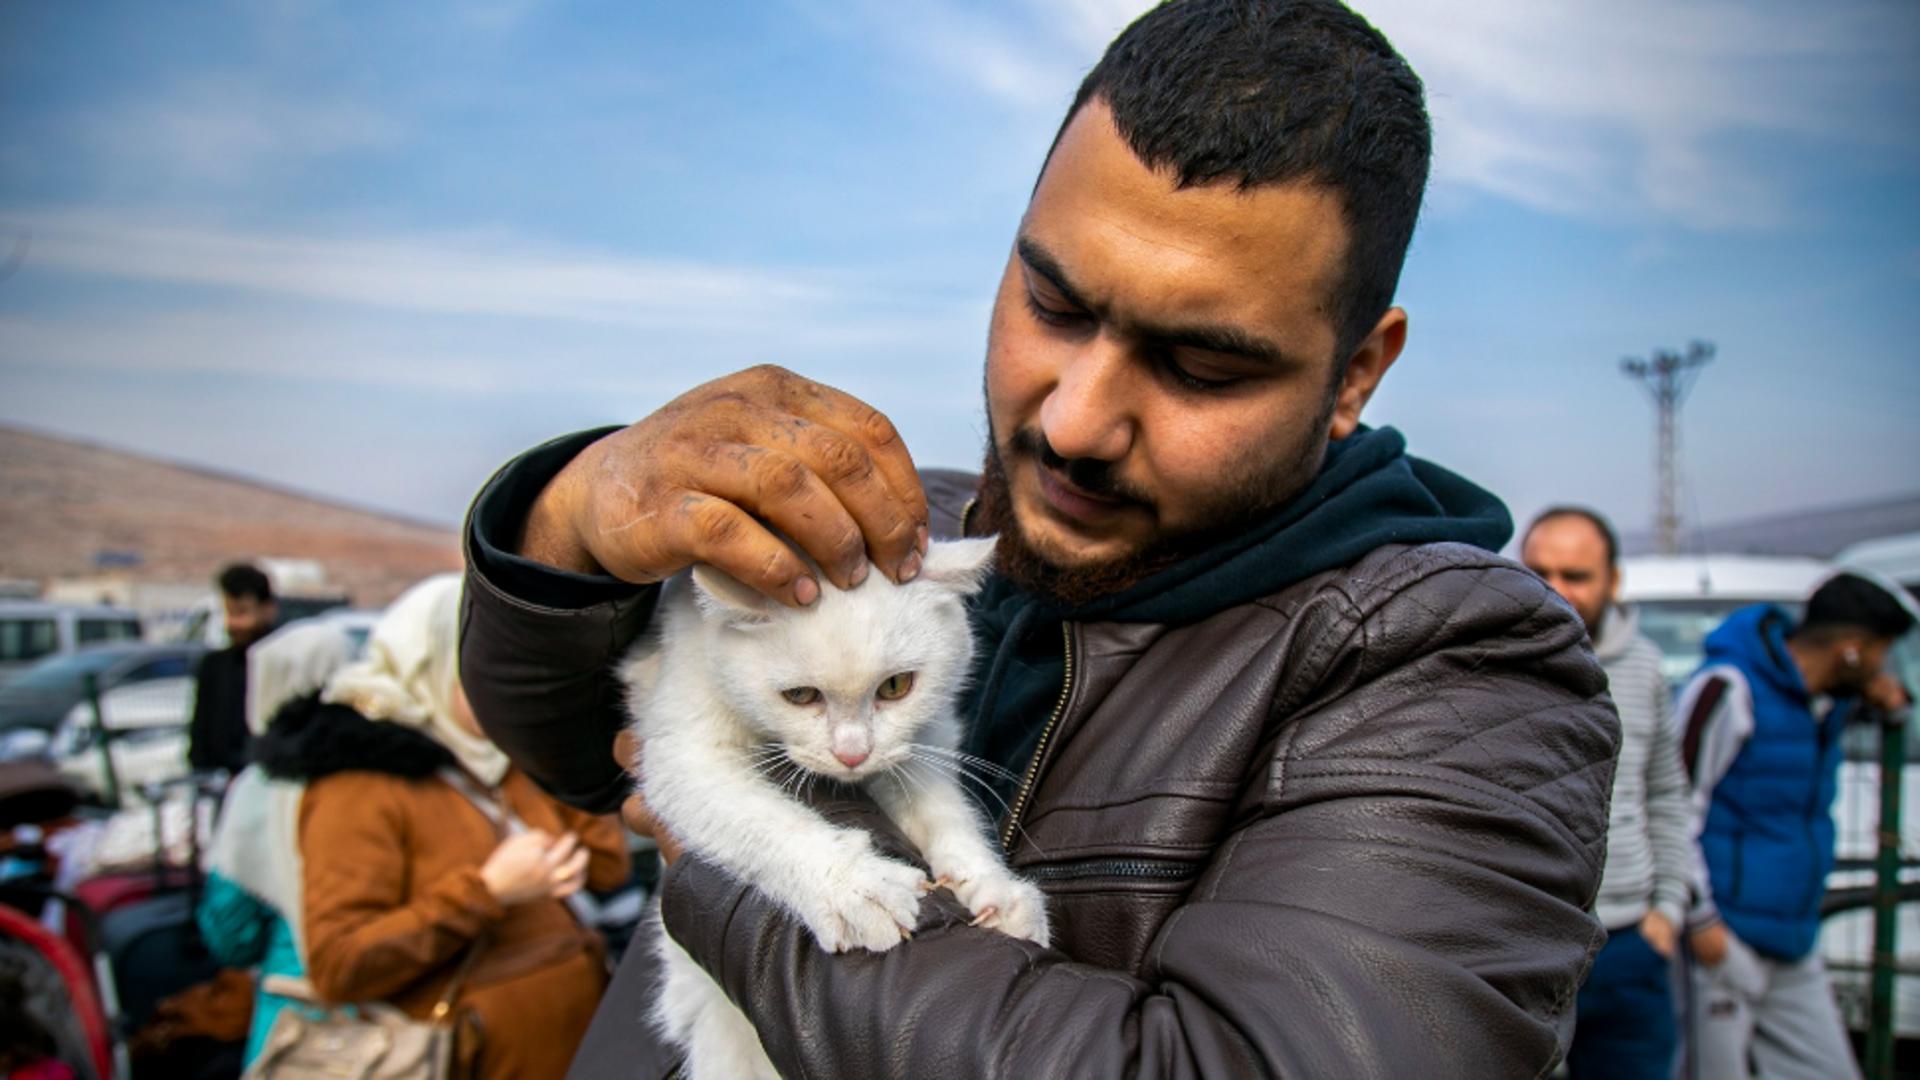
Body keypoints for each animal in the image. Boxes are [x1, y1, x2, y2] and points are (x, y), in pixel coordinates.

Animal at [622, 534, 1052, 1076]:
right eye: (800, 696)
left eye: (896, 687)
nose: (853, 754)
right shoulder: (683, 756)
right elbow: (767, 823)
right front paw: (853, 888)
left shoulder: (922, 741)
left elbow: (943, 812)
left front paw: (993, 887)